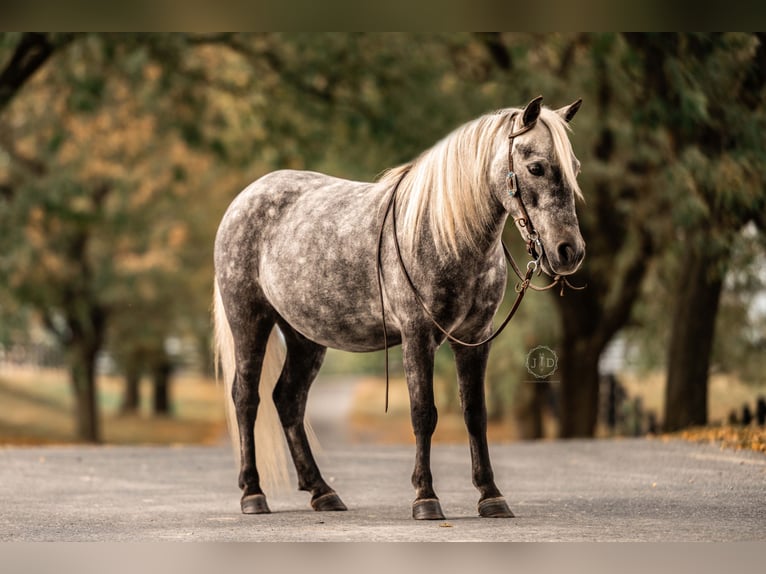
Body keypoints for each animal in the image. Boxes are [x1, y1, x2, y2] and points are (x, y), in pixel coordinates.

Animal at [213, 96, 586, 520]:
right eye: (536, 167)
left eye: (574, 168)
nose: (569, 252)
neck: (442, 231)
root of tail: (244, 199)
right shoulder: (417, 336)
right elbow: (423, 413)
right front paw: (426, 497)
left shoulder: (475, 338)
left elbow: (475, 414)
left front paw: (491, 495)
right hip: (249, 319)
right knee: (246, 398)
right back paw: (253, 493)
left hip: (306, 337)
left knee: (288, 400)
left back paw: (322, 492)